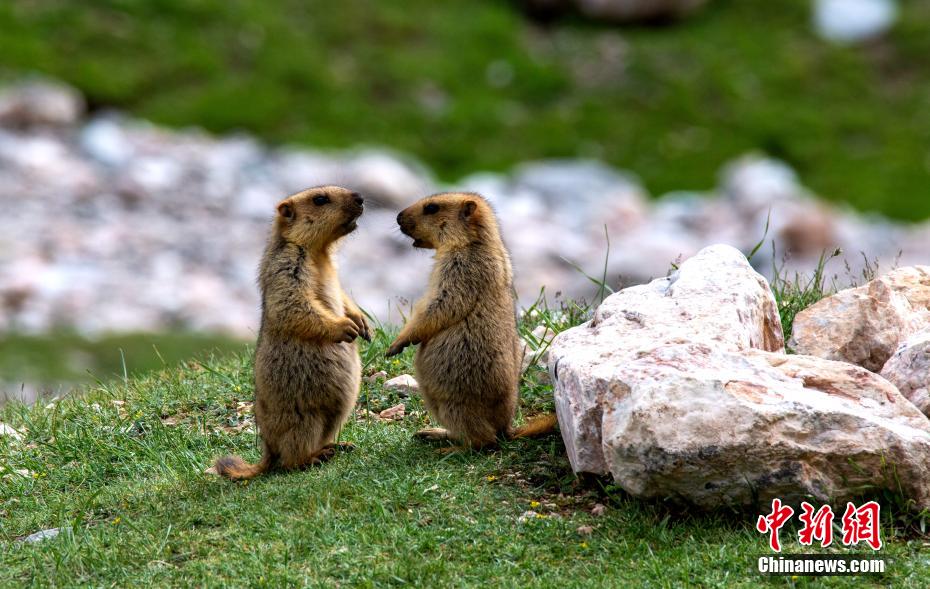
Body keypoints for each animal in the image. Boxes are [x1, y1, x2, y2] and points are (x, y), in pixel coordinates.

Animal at [213, 186, 370, 480]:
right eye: (320, 199)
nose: (360, 197)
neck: (320, 253)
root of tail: (267, 447)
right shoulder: (287, 265)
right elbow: (294, 302)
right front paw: (345, 327)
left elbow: (342, 295)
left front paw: (362, 323)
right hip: (304, 418)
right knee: (289, 459)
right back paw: (315, 457)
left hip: (335, 416)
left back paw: (338, 445)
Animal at [386, 192, 557, 450]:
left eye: (431, 208)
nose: (397, 217)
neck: (475, 242)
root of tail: (507, 429)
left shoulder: (462, 268)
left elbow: (440, 303)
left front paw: (397, 343)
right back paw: (434, 433)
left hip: (455, 405)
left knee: (483, 441)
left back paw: (450, 447)